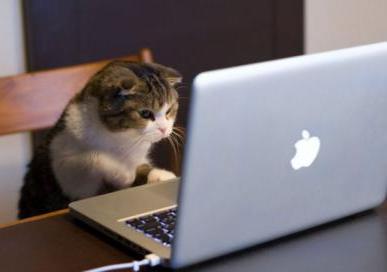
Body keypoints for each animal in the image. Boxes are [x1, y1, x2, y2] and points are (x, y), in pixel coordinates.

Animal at [17, 61, 183, 219]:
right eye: (146, 113)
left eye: (169, 111)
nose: (164, 129)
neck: (122, 138)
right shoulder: (62, 165)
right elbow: (92, 158)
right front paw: (122, 172)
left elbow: (142, 166)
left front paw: (161, 175)